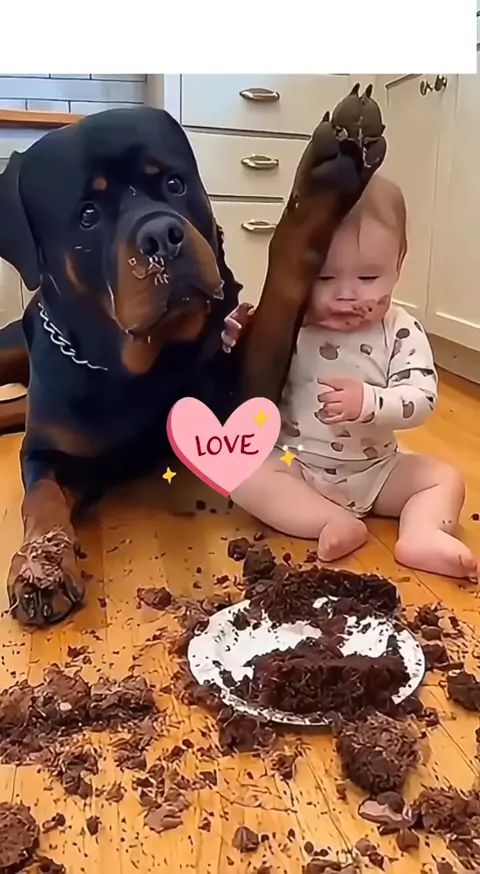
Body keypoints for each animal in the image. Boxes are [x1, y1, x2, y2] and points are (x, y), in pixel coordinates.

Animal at [0, 87, 386, 628]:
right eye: (88, 215)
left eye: (174, 183)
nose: (162, 234)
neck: (134, 369)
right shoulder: (46, 451)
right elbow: (42, 498)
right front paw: (41, 568)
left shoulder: (239, 390)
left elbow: (282, 285)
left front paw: (330, 170)